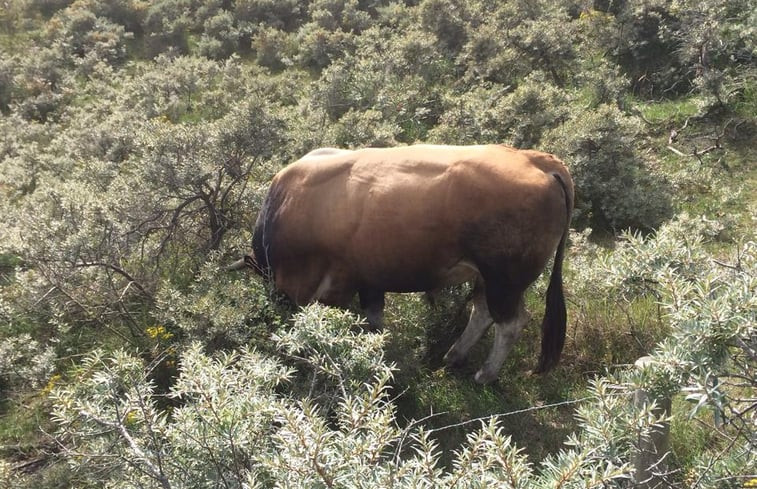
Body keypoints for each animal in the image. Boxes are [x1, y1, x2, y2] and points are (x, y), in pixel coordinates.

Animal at [239, 143, 568, 384]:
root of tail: (538, 160)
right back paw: (453, 356)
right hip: (488, 278)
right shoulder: (367, 277)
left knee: (510, 322)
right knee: (482, 311)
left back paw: (484, 375)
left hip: (504, 278)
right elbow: (374, 318)